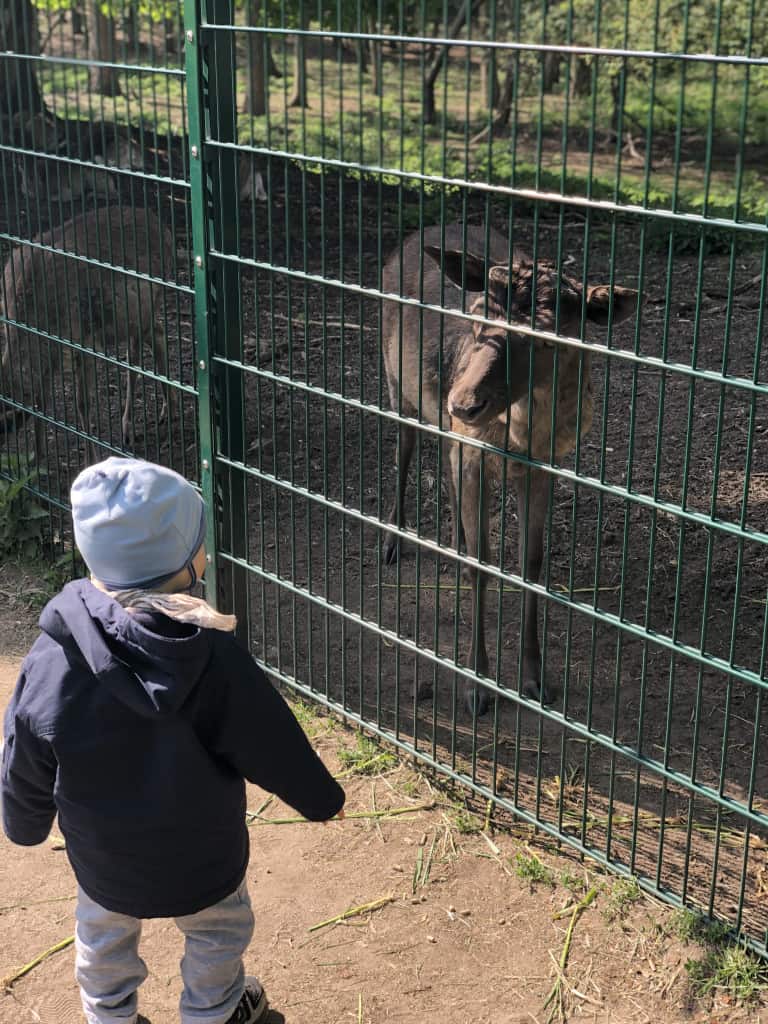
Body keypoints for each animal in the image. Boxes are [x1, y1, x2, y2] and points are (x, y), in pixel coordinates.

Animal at [1, 204, 177, 460]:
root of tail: (165, 231)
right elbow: (41, 401)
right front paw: (37, 456)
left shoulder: (84, 341)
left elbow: (82, 402)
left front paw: (90, 459)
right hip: (135, 318)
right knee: (155, 336)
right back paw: (162, 412)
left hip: (143, 309)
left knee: (140, 353)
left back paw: (139, 424)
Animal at [382, 223, 638, 712]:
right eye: (478, 316)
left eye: (547, 336)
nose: (464, 403)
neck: (519, 439)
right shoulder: (472, 454)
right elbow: (483, 565)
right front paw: (477, 685)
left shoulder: (545, 467)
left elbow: (532, 564)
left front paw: (535, 680)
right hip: (394, 380)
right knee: (404, 446)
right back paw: (392, 540)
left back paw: (454, 541)